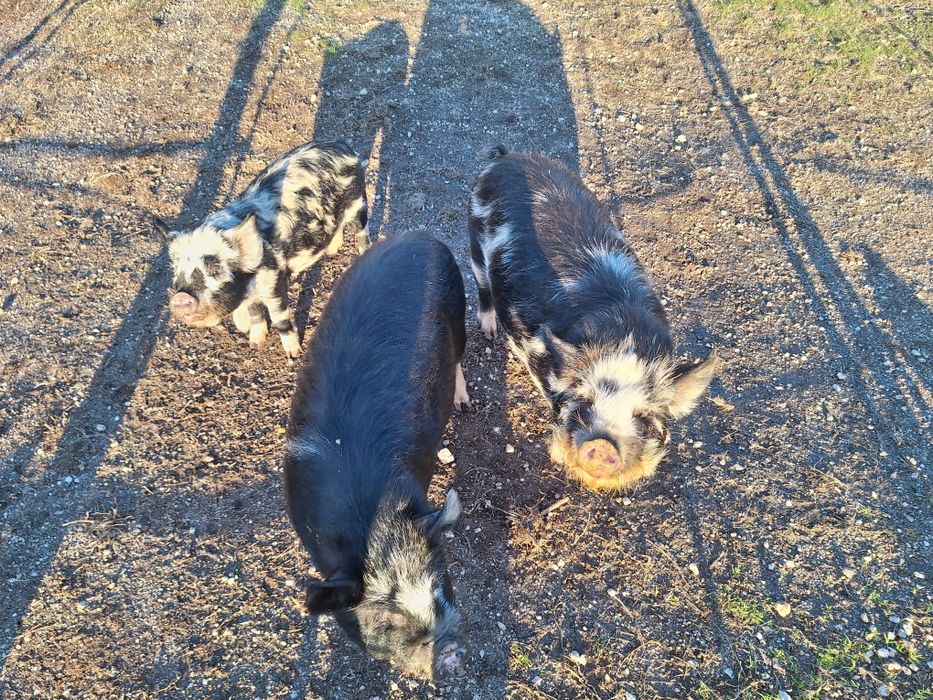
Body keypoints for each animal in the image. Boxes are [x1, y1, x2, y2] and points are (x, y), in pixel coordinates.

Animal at [158, 140, 369, 359]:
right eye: (176, 274)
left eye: (215, 269)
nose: (180, 297)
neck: (250, 285)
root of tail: (343, 146)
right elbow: (255, 314)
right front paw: (255, 344)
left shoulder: (274, 282)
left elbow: (280, 320)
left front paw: (293, 355)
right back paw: (331, 251)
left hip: (358, 204)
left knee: (362, 233)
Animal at [284, 231, 471, 680]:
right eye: (384, 621)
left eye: (438, 587)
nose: (451, 651)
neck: (371, 521)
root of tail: (421, 235)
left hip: (460, 311)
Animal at [468, 146, 719, 491]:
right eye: (585, 403)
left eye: (643, 417)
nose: (601, 445)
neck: (623, 337)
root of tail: (505, 158)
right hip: (474, 239)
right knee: (482, 287)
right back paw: (490, 331)